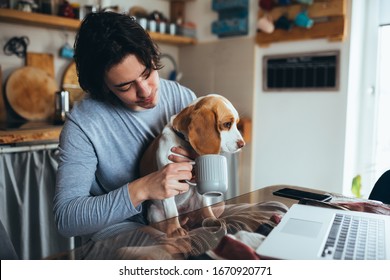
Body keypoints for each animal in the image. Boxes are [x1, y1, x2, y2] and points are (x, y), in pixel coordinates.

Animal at [139, 94, 244, 236]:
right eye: (227, 124)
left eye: (237, 124)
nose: (242, 144)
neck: (183, 142)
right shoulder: (168, 183)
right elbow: (172, 211)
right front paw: (175, 230)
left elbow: (206, 207)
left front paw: (212, 220)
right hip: (153, 212)